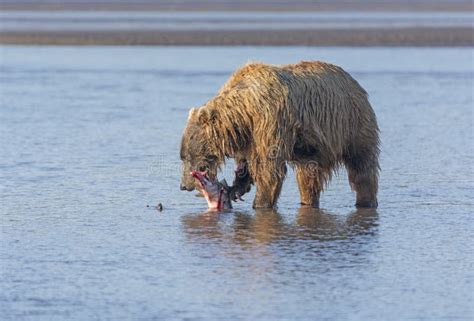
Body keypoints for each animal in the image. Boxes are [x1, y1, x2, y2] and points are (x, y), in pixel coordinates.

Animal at [180, 61, 380, 209]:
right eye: (182, 156)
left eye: (188, 156)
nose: (183, 185)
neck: (244, 112)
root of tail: (355, 82)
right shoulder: (248, 137)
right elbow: (247, 163)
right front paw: (235, 188)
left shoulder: (270, 120)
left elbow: (269, 167)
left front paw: (260, 203)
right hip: (313, 147)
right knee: (308, 176)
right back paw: (307, 201)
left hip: (351, 123)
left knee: (362, 167)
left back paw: (366, 201)